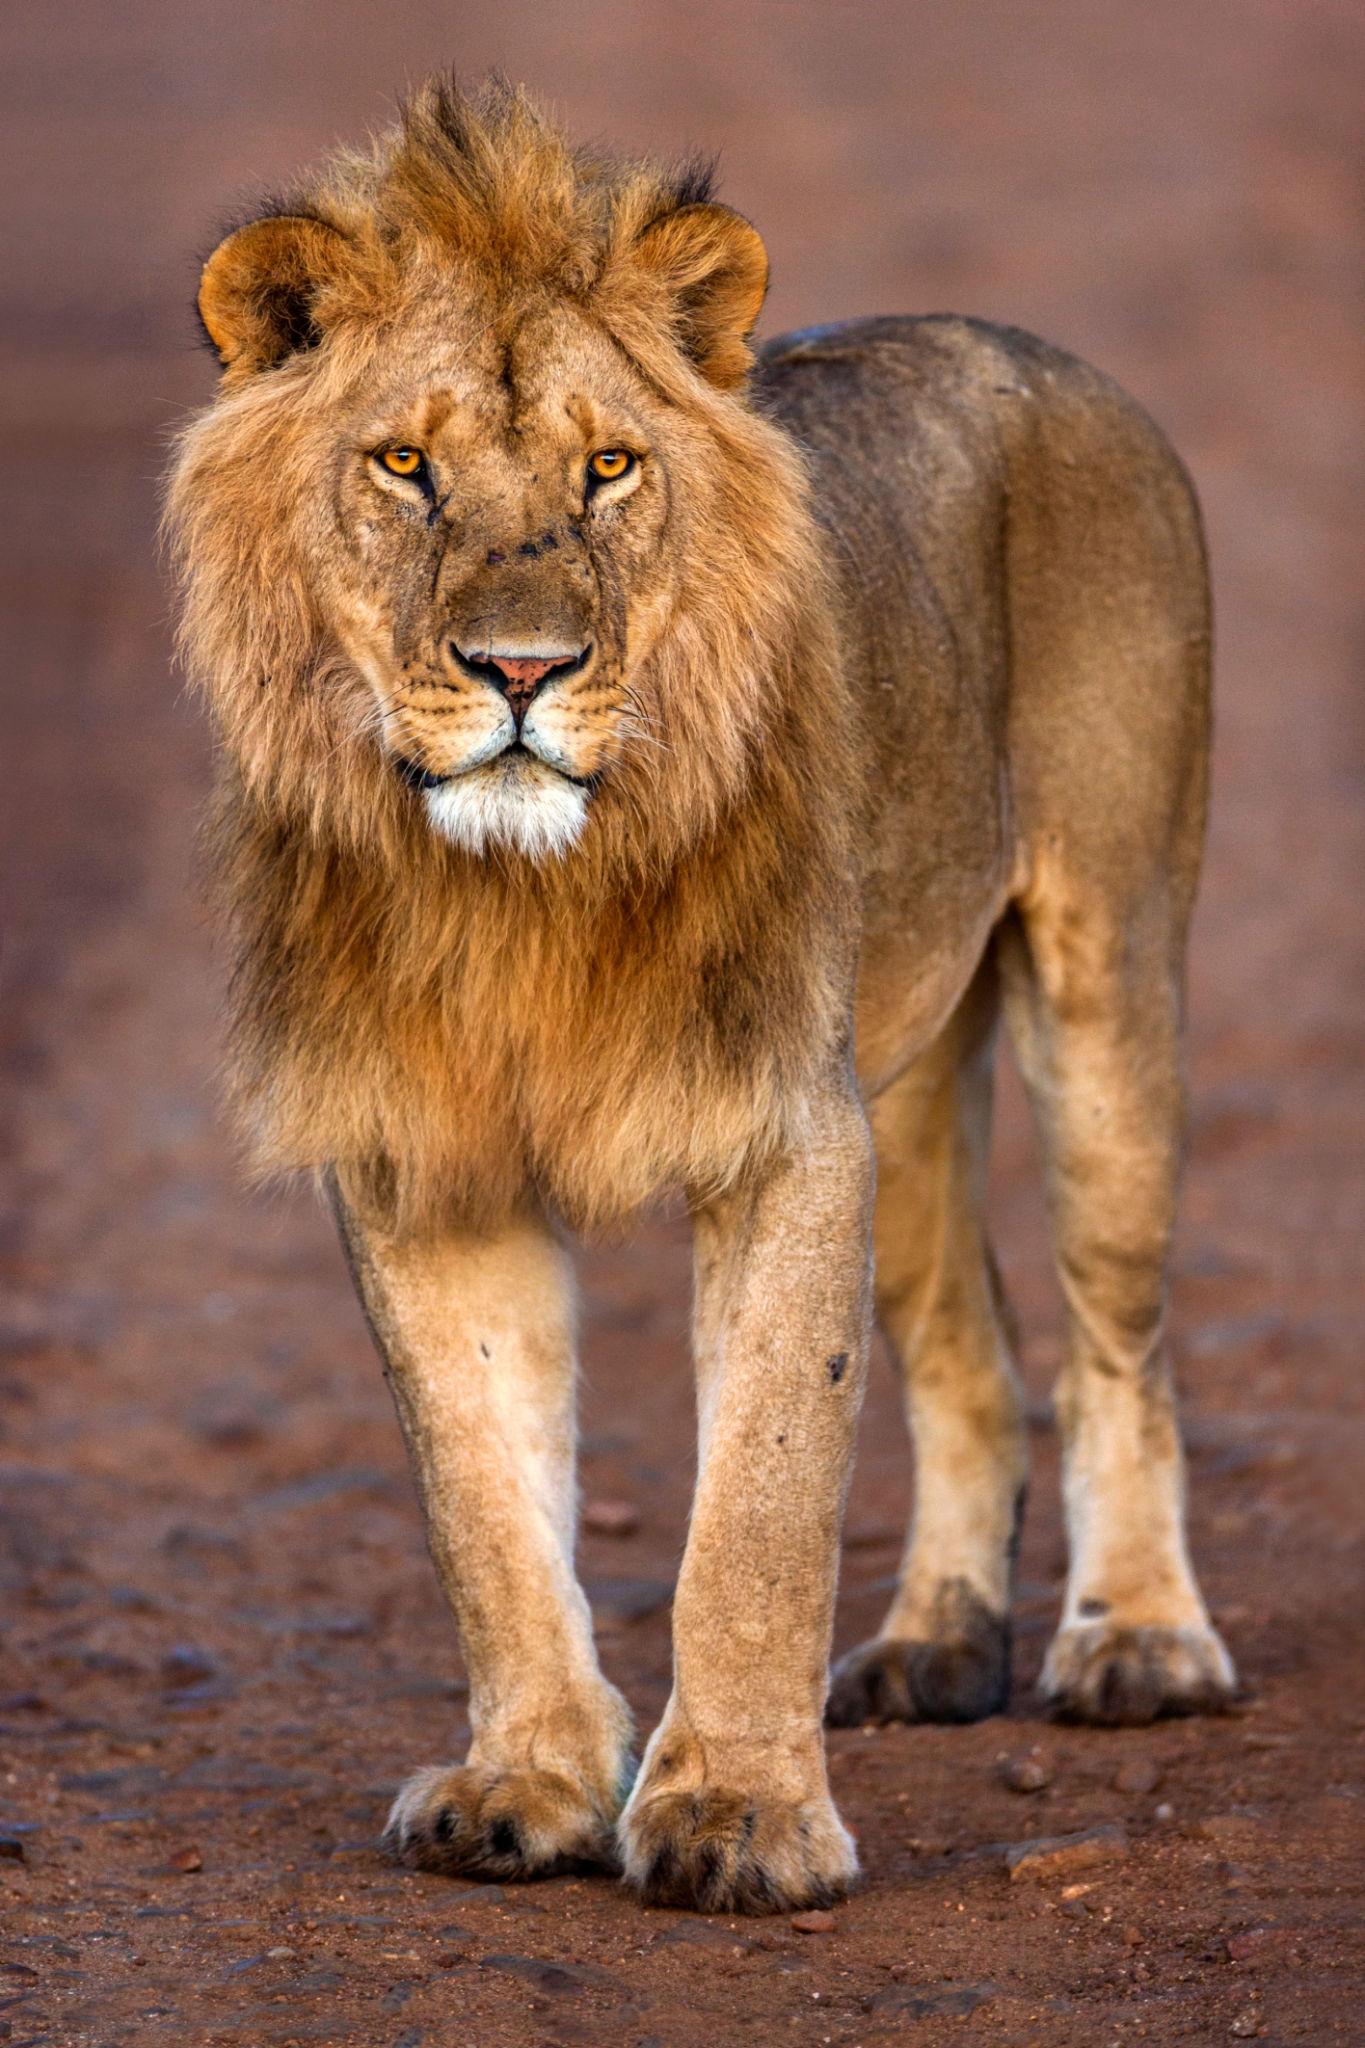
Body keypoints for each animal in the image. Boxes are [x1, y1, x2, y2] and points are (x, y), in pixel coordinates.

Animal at [168, 73, 1237, 1915]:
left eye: (610, 467)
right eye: (404, 464)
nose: (523, 669)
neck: (519, 900)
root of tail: (1034, 348)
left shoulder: (784, 1132)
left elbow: (761, 1503)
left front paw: (738, 1814)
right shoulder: (423, 1160)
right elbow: (483, 1508)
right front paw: (525, 1782)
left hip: (1107, 975)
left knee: (1117, 1337)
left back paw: (1138, 1643)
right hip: (904, 1075)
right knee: (973, 1344)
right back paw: (938, 1645)